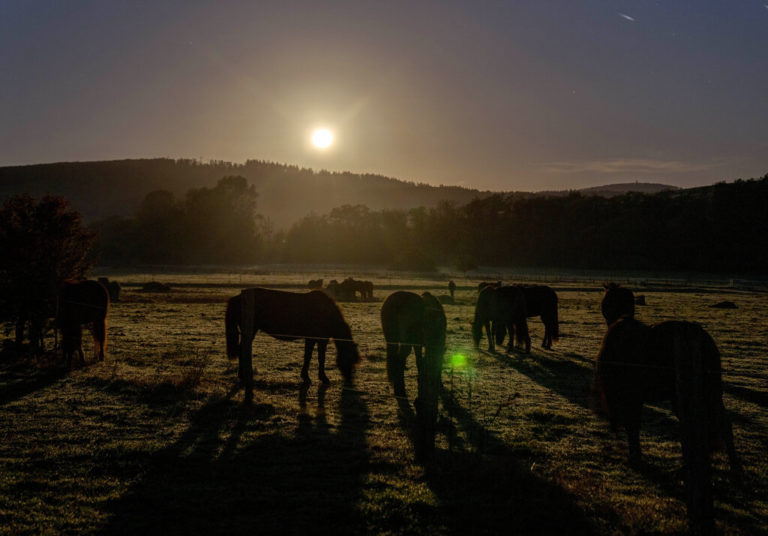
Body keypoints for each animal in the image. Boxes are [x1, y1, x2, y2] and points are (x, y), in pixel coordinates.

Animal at [226, 286, 362, 396]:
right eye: (349, 358)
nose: (349, 380)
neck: (325, 311)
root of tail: (238, 298)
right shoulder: (315, 339)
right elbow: (312, 357)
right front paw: (314, 377)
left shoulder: (319, 340)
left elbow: (317, 357)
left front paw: (314, 376)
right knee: (242, 349)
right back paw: (243, 375)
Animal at [380, 292, 448, 458]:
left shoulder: (419, 344)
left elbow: (419, 361)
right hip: (405, 340)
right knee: (399, 359)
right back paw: (400, 390)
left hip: (392, 339)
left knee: (396, 360)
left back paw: (398, 388)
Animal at [596, 318, 740, 536]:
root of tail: (707, 342)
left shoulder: (633, 396)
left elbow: (633, 426)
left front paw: (635, 457)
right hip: (708, 391)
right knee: (720, 424)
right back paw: (726, 468)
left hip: (697, 393)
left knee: (714, 426)